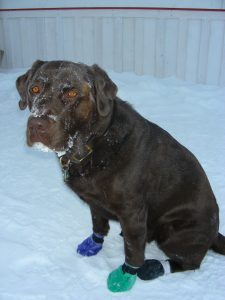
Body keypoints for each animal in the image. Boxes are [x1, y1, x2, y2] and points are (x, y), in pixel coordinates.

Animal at [16, 59, 225, 292]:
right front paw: (94, 244)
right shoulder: (95, 203)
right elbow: (98, 223)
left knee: (190, 262)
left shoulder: (133, 212)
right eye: (34, 89)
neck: (95, 143)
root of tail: (214, 233)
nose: (37, 125)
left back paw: (155, 267)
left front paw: (126, 275)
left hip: (174, 233)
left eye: (71, 93)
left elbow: (133, 251)